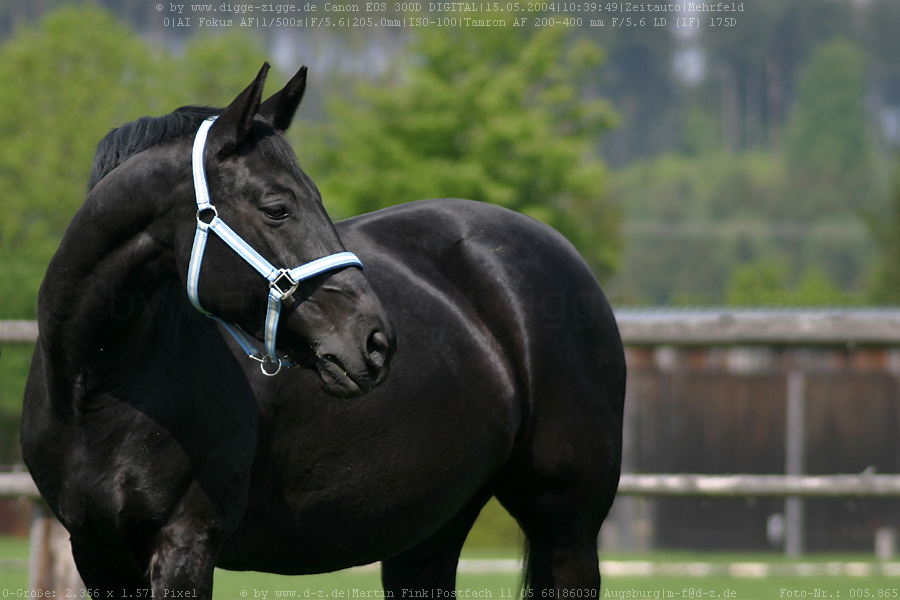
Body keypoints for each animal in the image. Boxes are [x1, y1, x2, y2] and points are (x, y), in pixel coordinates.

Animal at [22, 63, 624, 596]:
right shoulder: (96, 553)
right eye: (277, 207)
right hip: (428, 532)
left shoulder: (184, 545)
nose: (375, 343)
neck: (97, 384)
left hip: (567, 531)